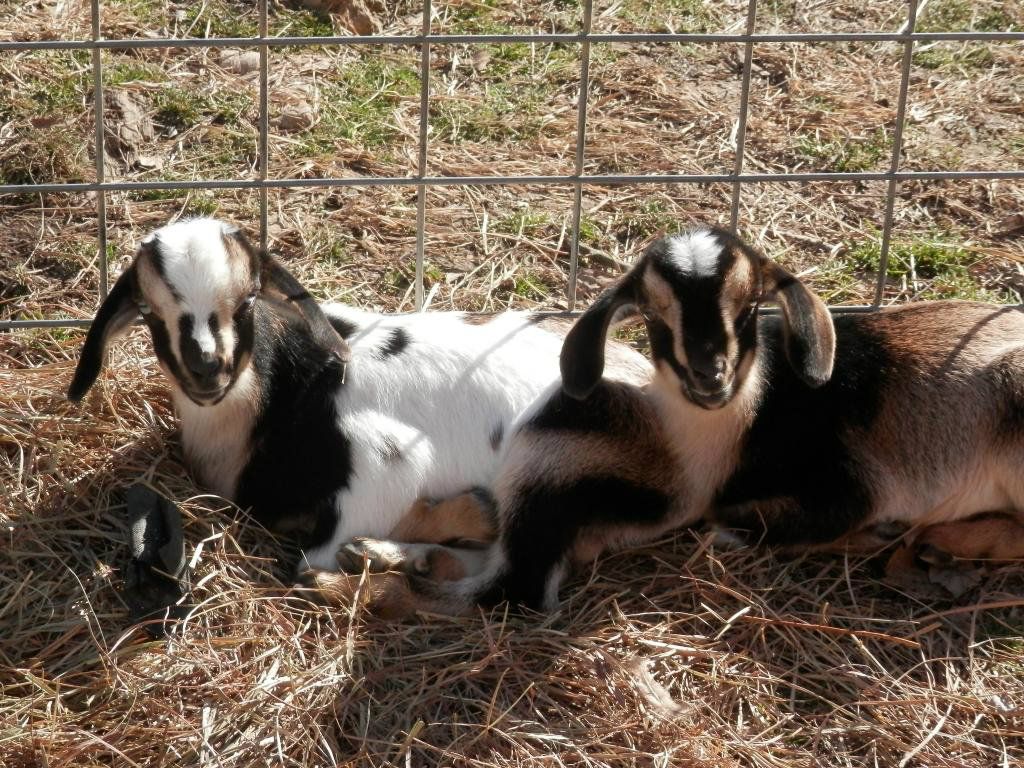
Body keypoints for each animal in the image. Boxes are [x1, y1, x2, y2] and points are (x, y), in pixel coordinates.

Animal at [329, 226, 1024, 617]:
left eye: (749, 308)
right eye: (656, 318)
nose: (709, 375)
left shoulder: (847, 488)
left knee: (512, 592)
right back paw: (383, 557)